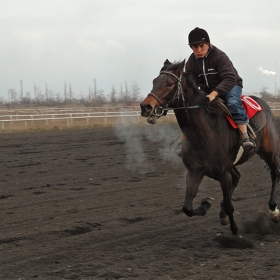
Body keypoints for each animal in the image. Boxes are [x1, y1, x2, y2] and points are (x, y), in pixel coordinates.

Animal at [140, 59, 280, 236]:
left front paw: (235, 230)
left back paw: (273, 210)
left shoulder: (223, 172)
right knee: (238, 176)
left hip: (270, 151)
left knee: (275, 173)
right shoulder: (195, 172)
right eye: (154, 81)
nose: (146, 106)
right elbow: (187, 208)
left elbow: (229, 205)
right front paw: (206, 204)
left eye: (170, 83)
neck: (205, 133)